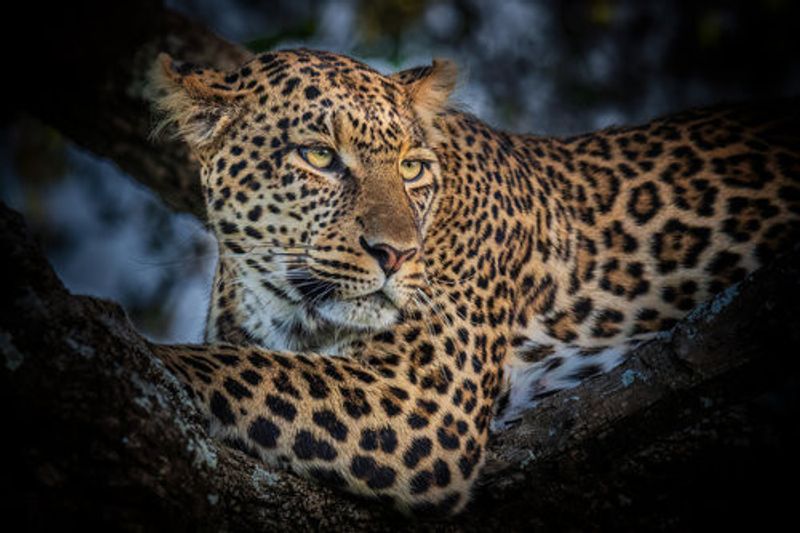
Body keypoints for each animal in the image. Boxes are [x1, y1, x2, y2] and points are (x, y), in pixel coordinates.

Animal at [147, 47, 800, 515]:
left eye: (412, 167)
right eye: (319, 157)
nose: (397, 254)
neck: (283, 306)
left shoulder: (422, 399)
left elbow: (224, 366)